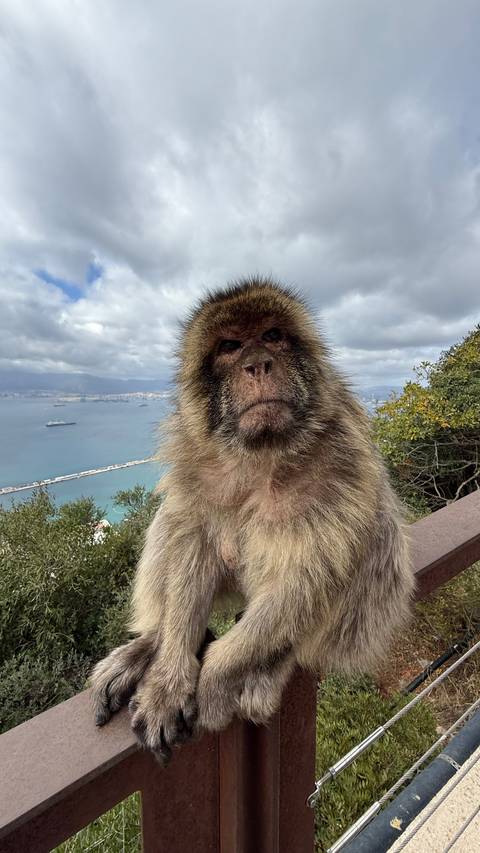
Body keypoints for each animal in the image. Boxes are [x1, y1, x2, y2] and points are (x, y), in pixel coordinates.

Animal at [91, 276, 414, 765]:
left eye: (273, 336)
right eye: (229, 346)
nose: (258, 364)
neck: (261, 454)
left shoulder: (344, 460)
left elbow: (308, 575)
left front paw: (215, 677)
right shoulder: (194, 457)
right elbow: (193, 542)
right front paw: (169, 677)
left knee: (375, 539)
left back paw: (273, 663)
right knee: (173, 520)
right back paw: (150, 644)